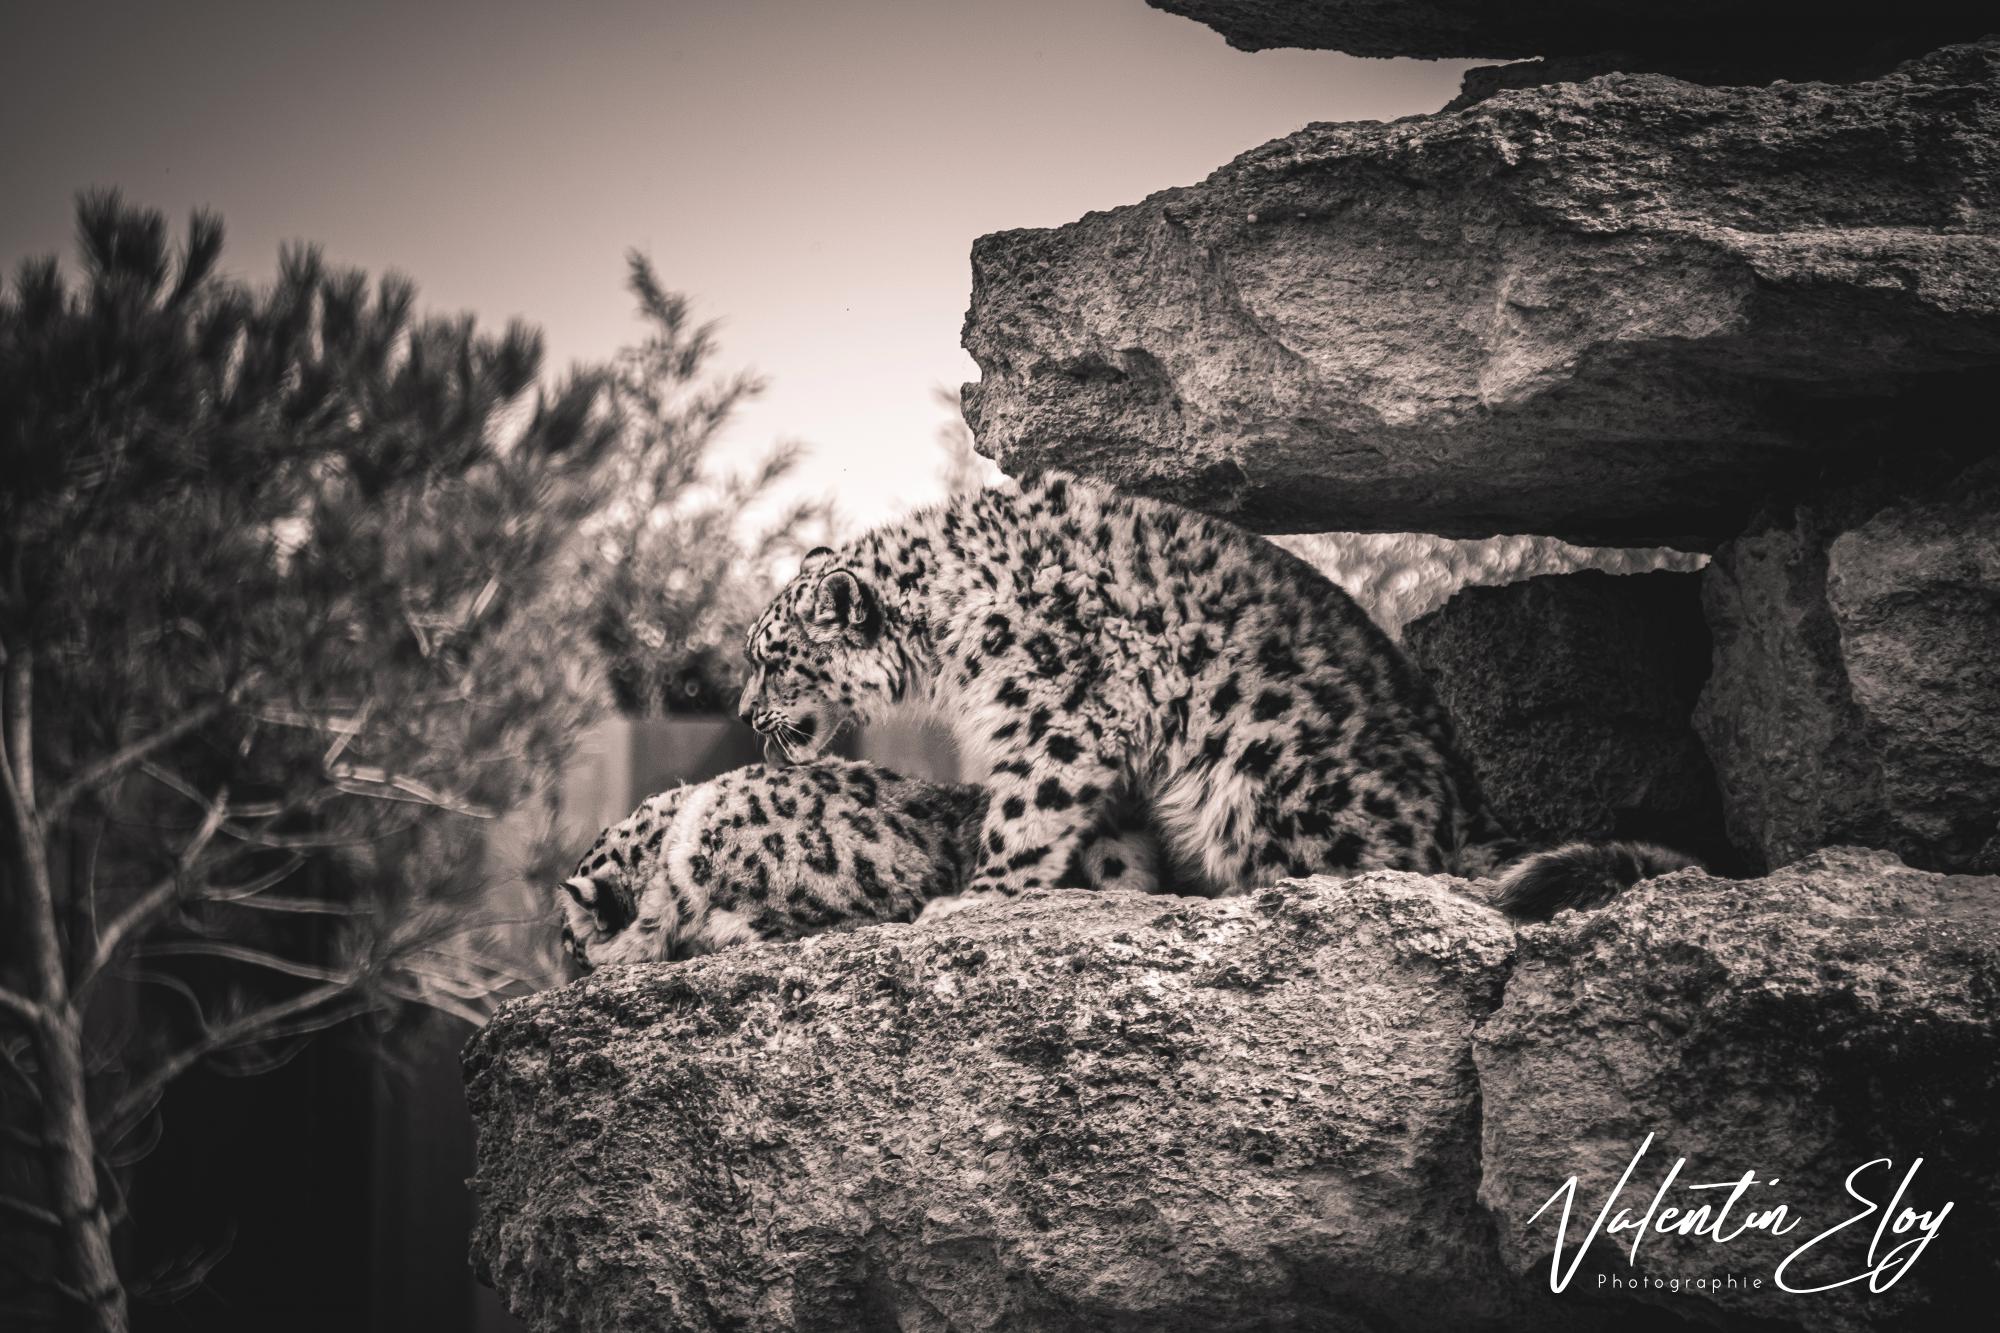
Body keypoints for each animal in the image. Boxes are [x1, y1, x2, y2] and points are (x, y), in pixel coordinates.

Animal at [736, 466, 1688, 912]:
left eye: (772, 658)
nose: (746, 712)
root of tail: (1469, 803)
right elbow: (1106, 835)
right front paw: (1119, 889)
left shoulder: (1057, 716)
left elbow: (1026, 815)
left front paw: (977, 897)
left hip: (1268, 777)